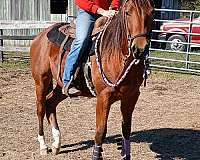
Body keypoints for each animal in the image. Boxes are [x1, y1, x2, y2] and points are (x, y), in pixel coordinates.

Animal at [29, 0, 154, 159]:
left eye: (152, 12)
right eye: (127, 12)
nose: (140, 49)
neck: (116, 53)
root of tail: (40, 36)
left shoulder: (131, 96)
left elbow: (126, 130)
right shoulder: (103, 97)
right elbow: (100, 132)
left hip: (62, 85)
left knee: (50, 103)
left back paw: (56, 144)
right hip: (41, 81)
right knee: (40, 108)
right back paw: (43, 145)